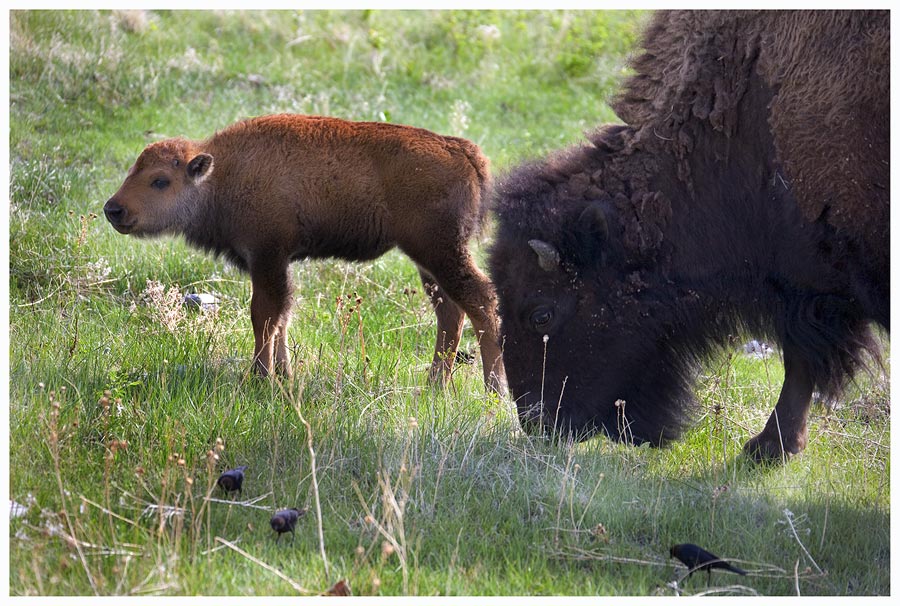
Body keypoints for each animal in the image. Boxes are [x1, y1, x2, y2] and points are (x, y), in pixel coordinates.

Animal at [105, 114, 506, 394]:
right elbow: (281, 316)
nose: (114, 210)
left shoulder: (267, 255)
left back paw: (494, 389)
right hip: (429, 259)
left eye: (160, 180)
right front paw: (282, 375)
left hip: (439, 250)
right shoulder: (274, 262)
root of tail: (460, 149)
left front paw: (260, 377)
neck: (223, 174)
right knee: (450, 311)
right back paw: (435, 385)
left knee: (480, 299)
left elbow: (265, 314)